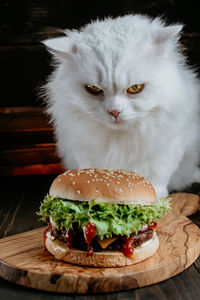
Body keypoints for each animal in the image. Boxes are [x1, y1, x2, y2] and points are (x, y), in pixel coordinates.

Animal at [41, 14, 198, 199]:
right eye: (93, 89)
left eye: (135, 88)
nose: (114, 112)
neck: (119, 136)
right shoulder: (83, 147)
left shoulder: (167, 147)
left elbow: (157, 176)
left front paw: (156, 196)